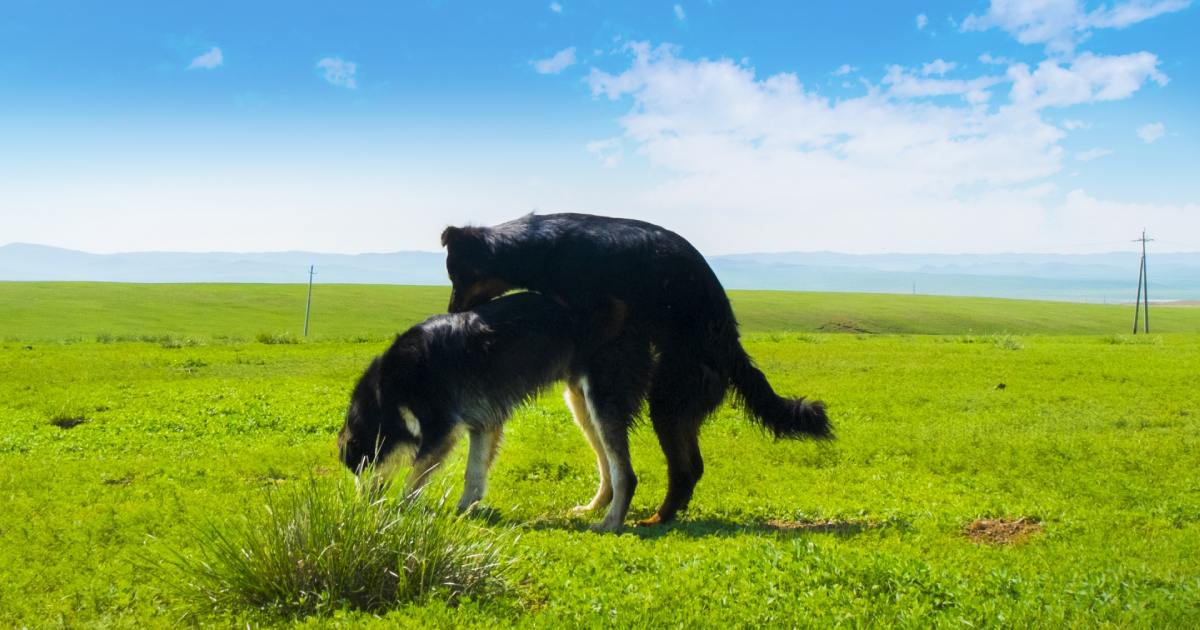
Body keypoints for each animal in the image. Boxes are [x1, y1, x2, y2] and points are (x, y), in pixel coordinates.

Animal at [338, 292, 657, 528]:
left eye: (360, 467)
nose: (361, 506)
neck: (384, 397)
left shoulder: (444, 429)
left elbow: (415, 476)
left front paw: (400, 512)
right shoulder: (484, 423)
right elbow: (474, 473)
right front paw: (464, 510)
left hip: (601, 399)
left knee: (625, 474)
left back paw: (610, 523)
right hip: (581, 405)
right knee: (607, 466)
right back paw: (593, 507)